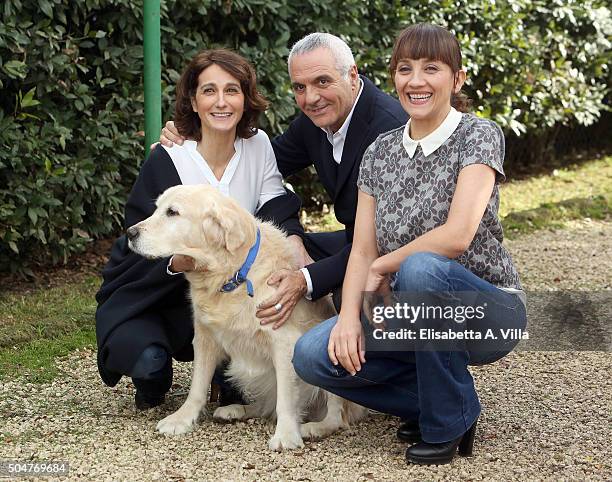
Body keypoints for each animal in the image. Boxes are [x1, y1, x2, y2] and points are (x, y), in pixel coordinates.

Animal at [127, 185, 366, 452]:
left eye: (173, 212)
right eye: (157, 208)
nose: (130, 233)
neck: (234, 274)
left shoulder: (284, 342)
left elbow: (286, 398)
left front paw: (286, 435)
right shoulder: (204, 338)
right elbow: (197, 386)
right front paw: (182, 418)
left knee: (336, 416)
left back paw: (315, 427)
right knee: (265, 406)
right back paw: (236, 410)